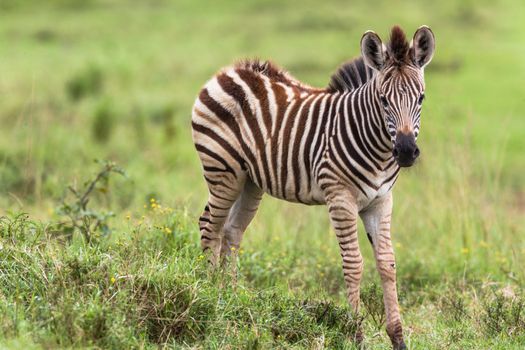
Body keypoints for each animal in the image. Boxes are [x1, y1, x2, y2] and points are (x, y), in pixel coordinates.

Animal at [190, 26, 436, 348]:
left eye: (421, 98)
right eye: (383, 100)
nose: (406, 152)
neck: (378, 149)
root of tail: (228, 72)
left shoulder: (381, 201)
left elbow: (387, 264)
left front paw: (398, 339)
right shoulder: (340, 198)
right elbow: (353, 263)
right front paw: (357, 335)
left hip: (250, 182)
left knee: (231, 232)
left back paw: (229, 298)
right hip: (222, 170)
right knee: (210, 227)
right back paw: (210, 298)